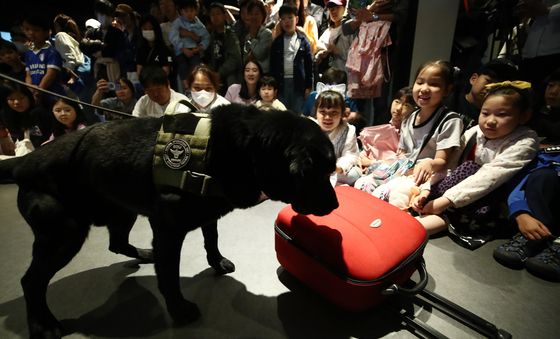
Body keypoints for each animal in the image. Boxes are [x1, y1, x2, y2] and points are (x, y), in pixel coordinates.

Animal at [0, 103, 336, 339]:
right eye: (318, 174)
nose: (335, 205)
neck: (242, 149)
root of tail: (24, 163)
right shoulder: (167, 230)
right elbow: (170, 277)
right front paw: (179, 309)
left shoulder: (206, 214)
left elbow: (211, 239)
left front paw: (217, 262)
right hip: (64, 234)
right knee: (31, 281)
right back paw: (42, 324)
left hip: (121, 210)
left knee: (116, 243)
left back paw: (144, 254)